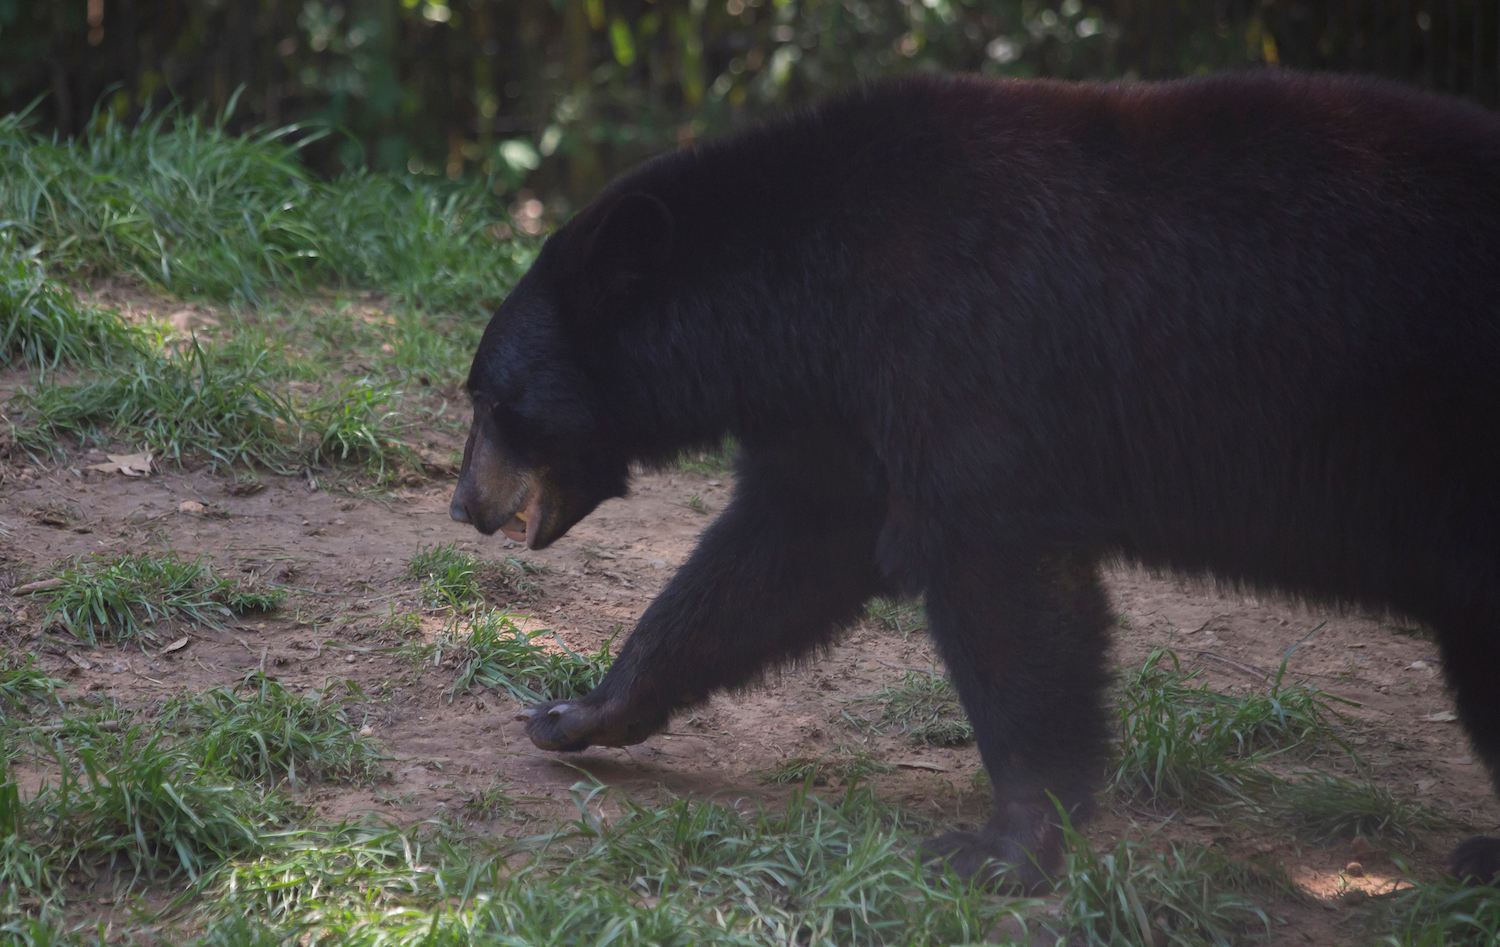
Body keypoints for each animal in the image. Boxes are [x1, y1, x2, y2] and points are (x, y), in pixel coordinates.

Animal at [449, 70, 1500, 890]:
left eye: (494, 401)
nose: (463, 505)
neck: (807, 300)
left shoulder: (963, 358)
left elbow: (999, 580)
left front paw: (1003, 846)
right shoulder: (844, 414)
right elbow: (774, 556)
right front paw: (576, 711)